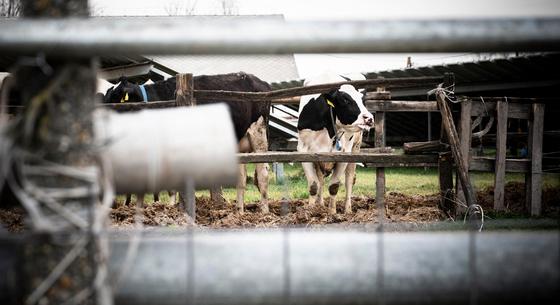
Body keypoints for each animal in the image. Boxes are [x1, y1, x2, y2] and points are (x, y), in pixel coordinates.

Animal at [105, 72, 274, 213]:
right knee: (242, 177)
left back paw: (264, 211)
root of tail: (261, 82)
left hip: (259, 134)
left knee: (263, 173)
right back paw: (239, 211)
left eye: (116, 100)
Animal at [296, 73, 374, 214]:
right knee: (321, 180)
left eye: (362, 100)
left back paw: (347, 210)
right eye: (345, 100)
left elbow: (334, 186)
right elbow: (314, 185)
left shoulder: (343, 155)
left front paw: (332, 212)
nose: (369, 118)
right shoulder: (304, 152)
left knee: (349, 180)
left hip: (355, 148)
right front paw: (310, 210)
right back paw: (320, 204)